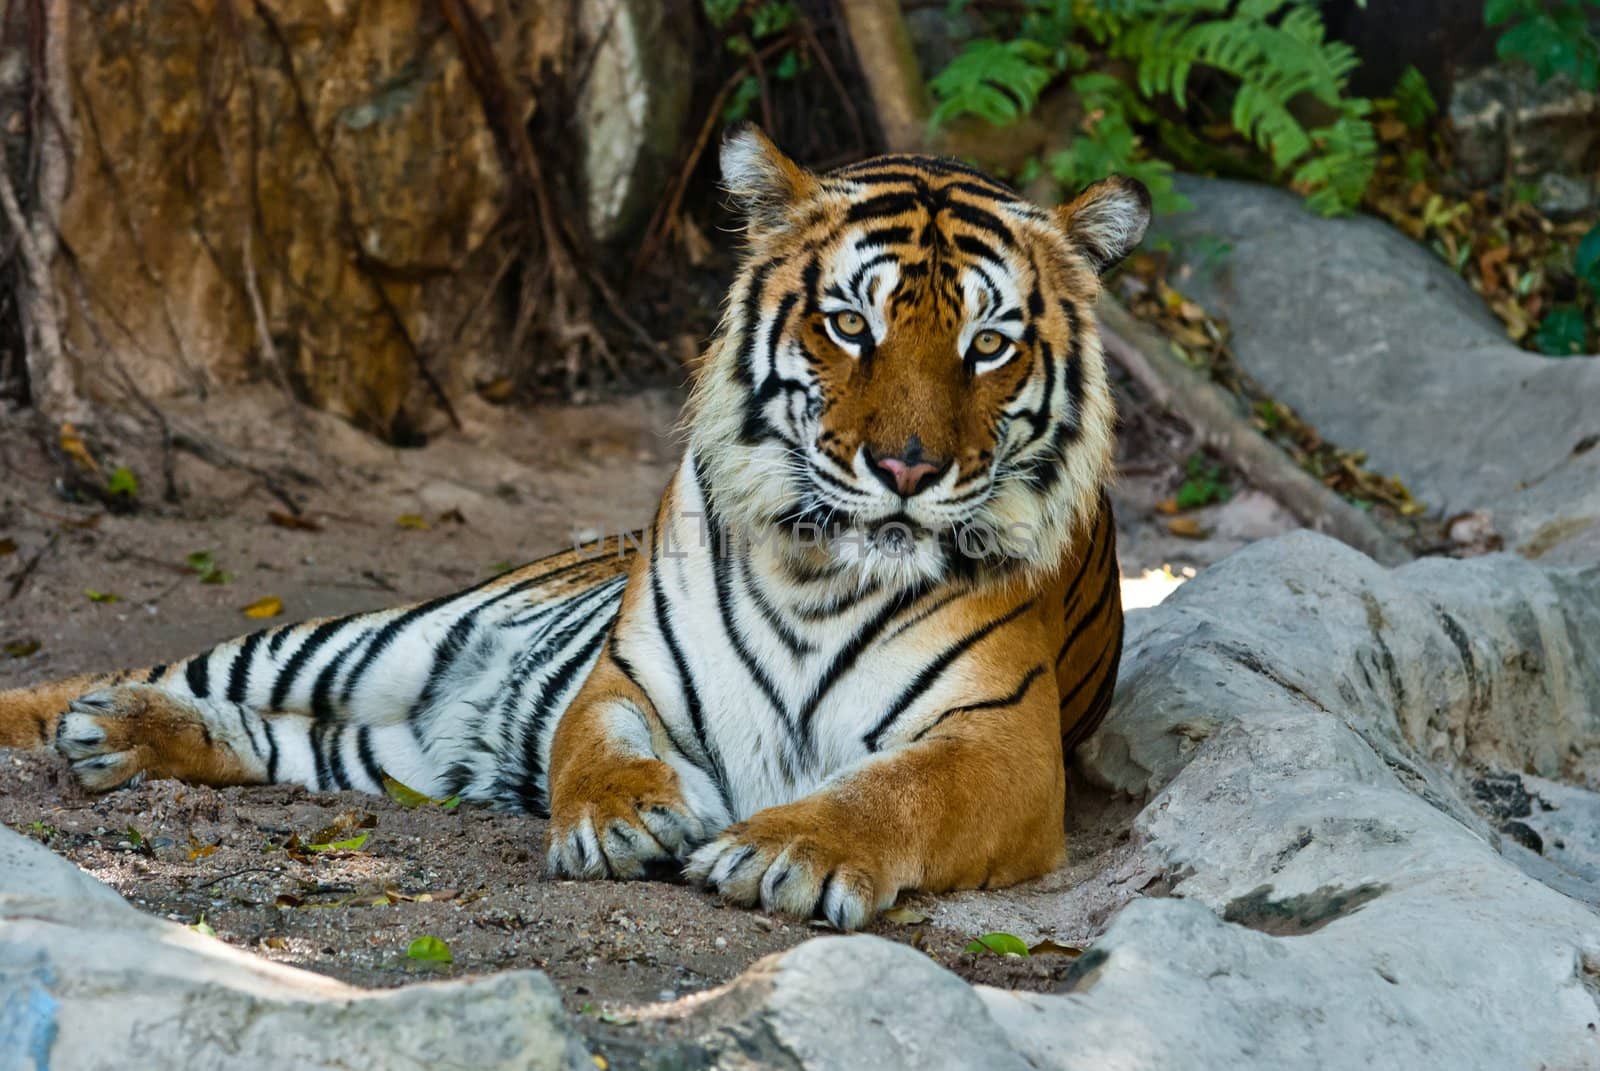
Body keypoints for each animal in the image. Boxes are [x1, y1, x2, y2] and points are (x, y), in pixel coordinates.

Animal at [3, 123, 1152, 928]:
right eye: (848, 324)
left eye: (988, 343)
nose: (907, 469)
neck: (821, 575)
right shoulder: (626, 676)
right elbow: (594, 748)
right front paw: (623, 820)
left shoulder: (1003, 742)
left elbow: (899, 792)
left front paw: (786, 851)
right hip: (366, 640)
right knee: (158, 675)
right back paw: (94, 718)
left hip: (384, 749)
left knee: (278, 735)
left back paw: (117, 737)